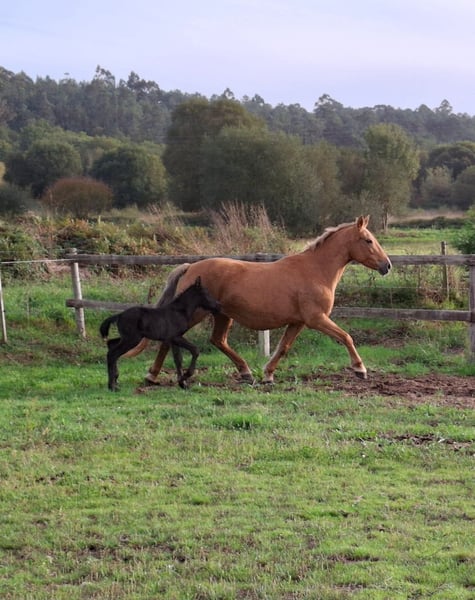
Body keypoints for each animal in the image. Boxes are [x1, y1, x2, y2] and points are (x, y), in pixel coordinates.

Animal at [131, 215, 391, 385]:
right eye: (368, 240)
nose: (387, 265)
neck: (316, 271)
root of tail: (189, 267)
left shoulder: (298, 321)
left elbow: (283, 347)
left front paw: (267, 375)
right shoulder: (316, 319)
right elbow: (346, 337)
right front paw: (360, 369)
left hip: (222, 315)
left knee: (218, 340)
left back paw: (246, 373)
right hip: (197, 313)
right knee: (171, 339)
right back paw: (151, 376)